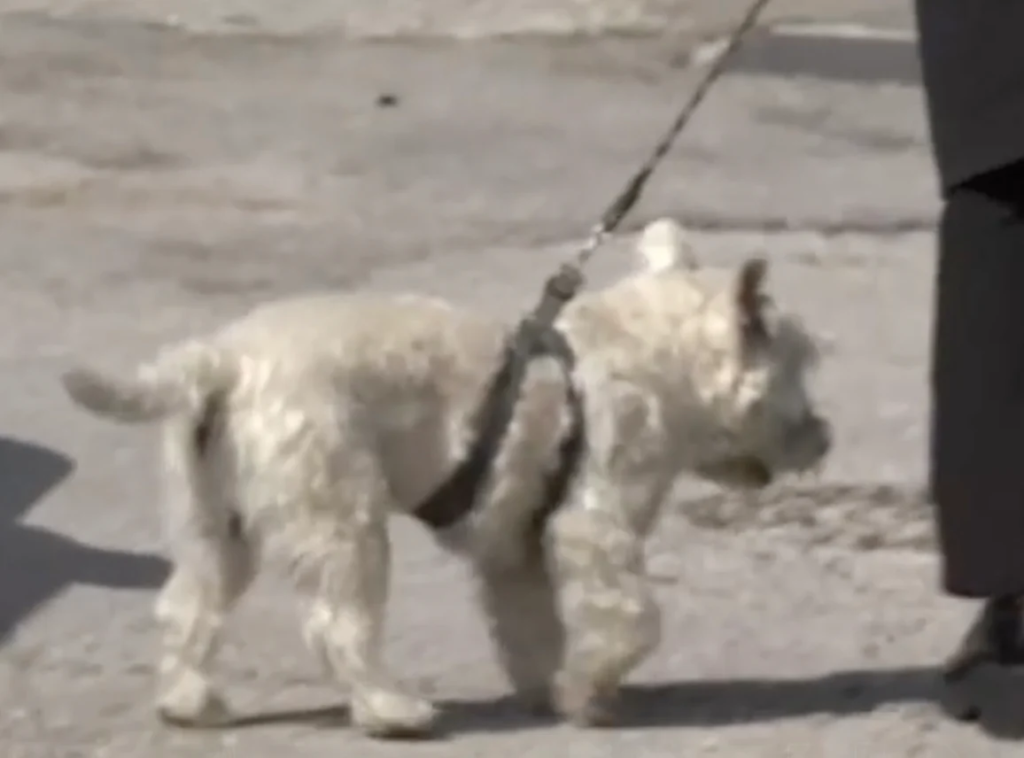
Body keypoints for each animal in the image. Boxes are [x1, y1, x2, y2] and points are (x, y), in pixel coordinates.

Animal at [61, 218, 831, 737]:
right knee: (337, 622)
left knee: (189, 605)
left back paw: (189, 702)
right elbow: (632, 619)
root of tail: (222, 360)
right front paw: (589, 693)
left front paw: (549, 688)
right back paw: (390, 710)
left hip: (216, 521)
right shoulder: (595, 527)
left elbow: (529, 626)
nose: (824, 439)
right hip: (340, 518)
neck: (649, 356)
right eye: (798, 368)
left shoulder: (517, 550)